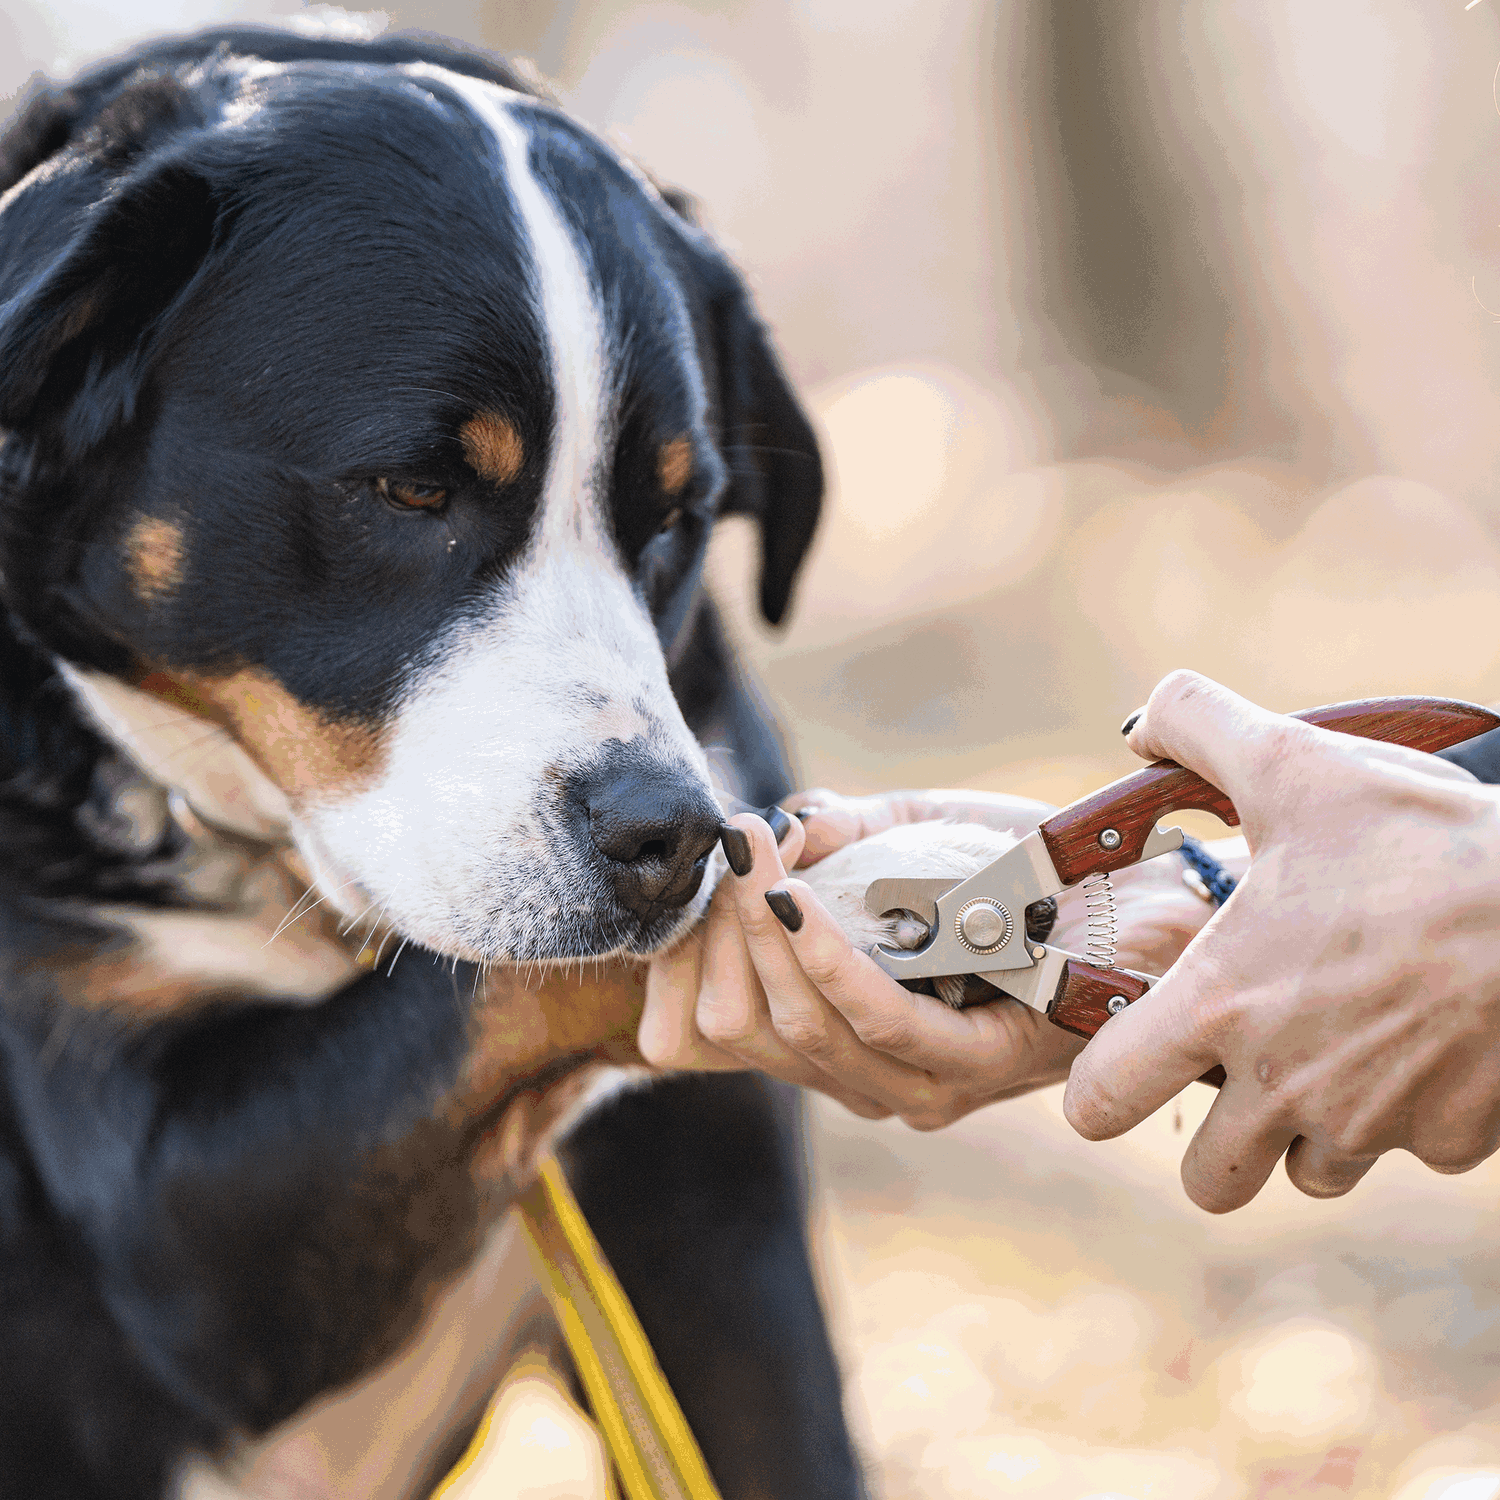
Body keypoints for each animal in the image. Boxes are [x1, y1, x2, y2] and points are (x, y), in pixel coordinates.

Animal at [0, 26, 882, 1500]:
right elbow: (479, 1000)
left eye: (677, 516)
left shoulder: (721, 1251)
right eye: (412, 490)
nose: (667, 837)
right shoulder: (181, 1214)